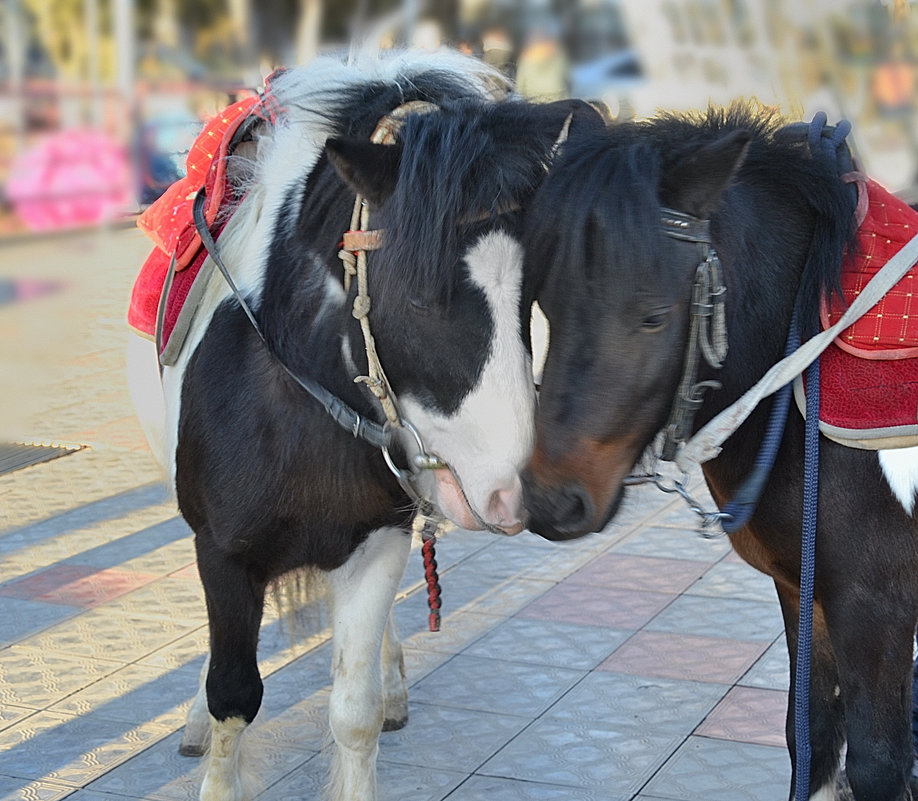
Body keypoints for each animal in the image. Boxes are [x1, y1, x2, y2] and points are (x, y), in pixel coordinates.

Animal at [129, 53, 588, 796]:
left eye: (532, 297)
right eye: (418, 295)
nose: (512, 494)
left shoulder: (376, 538)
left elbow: (354, 710)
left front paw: (378, 697)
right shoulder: (222, 551)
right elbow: (233, 697)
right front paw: (210, 726)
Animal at [520, 103, 918, 796]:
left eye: (654, 316)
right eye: (547, 303)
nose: (553, 502)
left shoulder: (877, 606)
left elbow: (876, 765)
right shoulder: (805, 592)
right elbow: (811, 739)